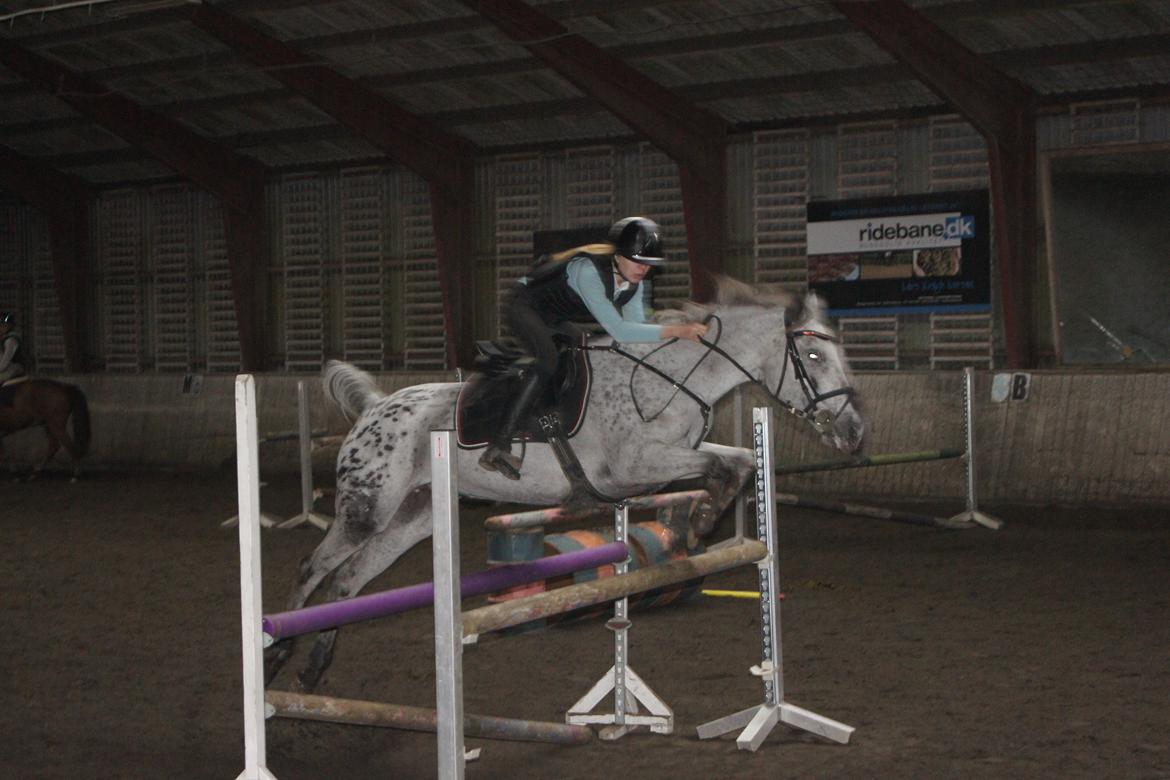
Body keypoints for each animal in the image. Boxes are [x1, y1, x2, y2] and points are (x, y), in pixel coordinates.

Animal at [267, 279, 865, 691]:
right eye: (813, 356)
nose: (856, 432)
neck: (668, 378)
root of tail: (375, 407)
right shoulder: (631, 467)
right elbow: (716, 471)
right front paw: (691, 524)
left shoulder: (674, 455)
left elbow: (737, 462)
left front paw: (691, 526)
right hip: (367, 508)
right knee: (313, 567)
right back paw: (275, 653)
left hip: (411, 519)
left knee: (348, 581)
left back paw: (313, 670)